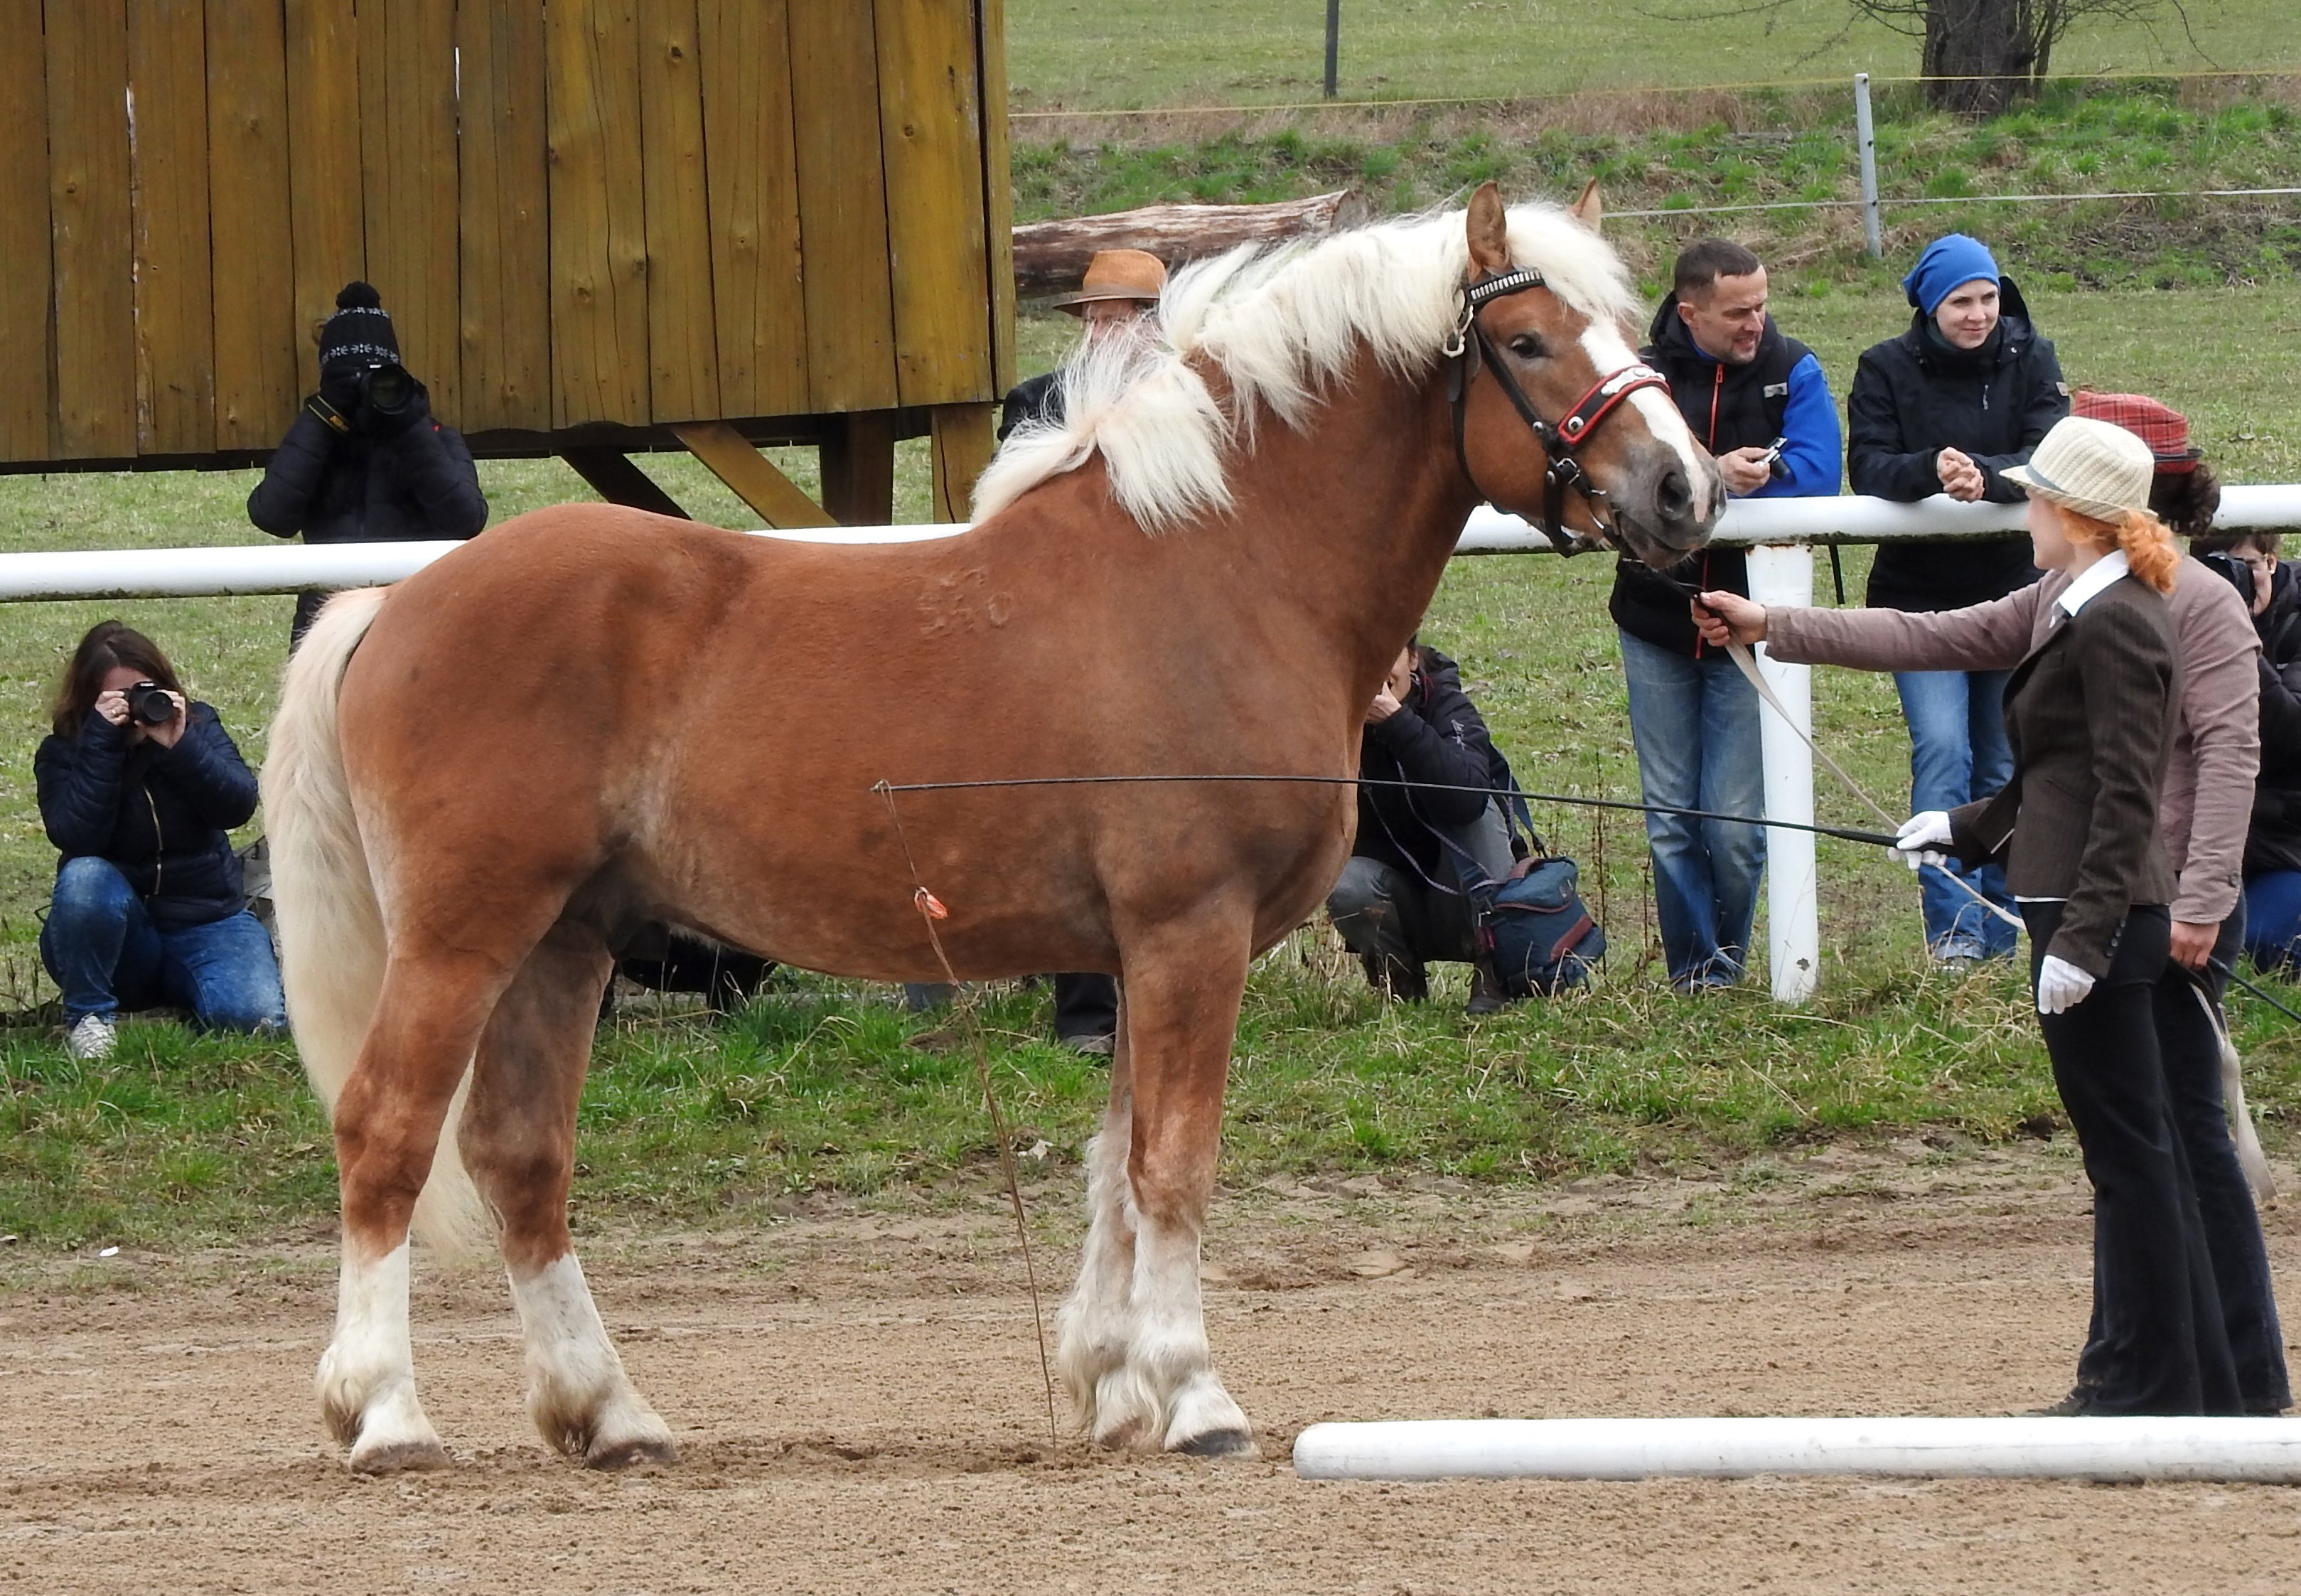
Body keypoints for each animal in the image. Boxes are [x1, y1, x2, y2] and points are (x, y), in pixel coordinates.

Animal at [264, 183, 1712, 1472]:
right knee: (386, 1135)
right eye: (1526, 341)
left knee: (521, 1161)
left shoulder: (1138, 955)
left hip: (565, 944)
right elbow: (1174, 1166)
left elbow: (1115, 1166)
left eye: (1625, 326)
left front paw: (1111, 1386)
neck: (1223, 573)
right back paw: (386, 1415)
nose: (1684, 492)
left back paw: (609, 1415)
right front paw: (1194, 1395)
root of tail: (393, 605)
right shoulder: (1192, 936)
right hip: (463, 939)